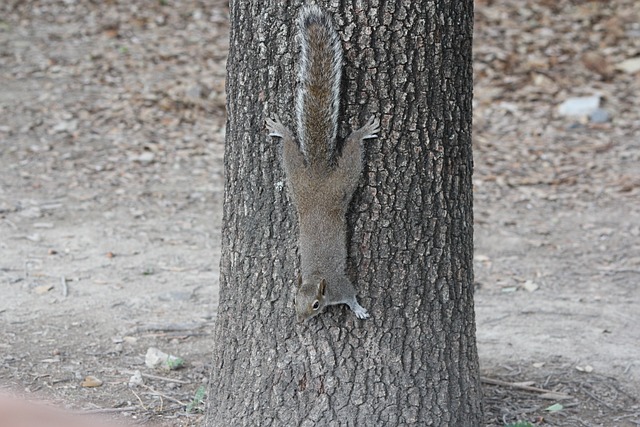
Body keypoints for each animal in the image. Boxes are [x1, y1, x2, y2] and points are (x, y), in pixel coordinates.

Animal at [266, 5, 380, 322]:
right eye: (295, 300)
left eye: (316, 305)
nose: (301, 319)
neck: (318, 277)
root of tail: (317, 177)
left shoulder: (342, 285)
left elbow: (351, 295)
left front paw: (359, 309)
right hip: (297, 179)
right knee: (290, 150)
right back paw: (283, 131)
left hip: (340, 184)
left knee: (351, 153)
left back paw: (361, 133)